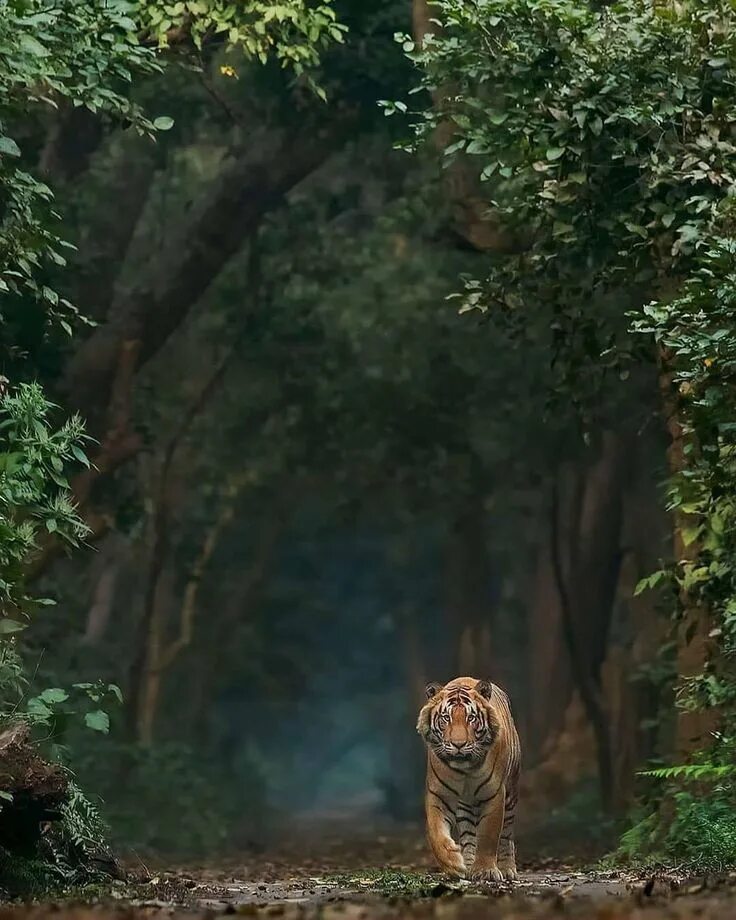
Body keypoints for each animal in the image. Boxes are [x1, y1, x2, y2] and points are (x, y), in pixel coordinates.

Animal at [416, 680, 520, 880]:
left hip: (511, 794)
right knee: (469, 835)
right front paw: (453, 863)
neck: (465, 770)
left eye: (471, 718)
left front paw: (486, 870)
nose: (458, 744)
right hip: (464, 806)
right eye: (446, 718)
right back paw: (468, 866)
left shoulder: (494, 794)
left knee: (507, 834)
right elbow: (436, 832)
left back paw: (507, 869)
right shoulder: (438, 795)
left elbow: (488, 835)